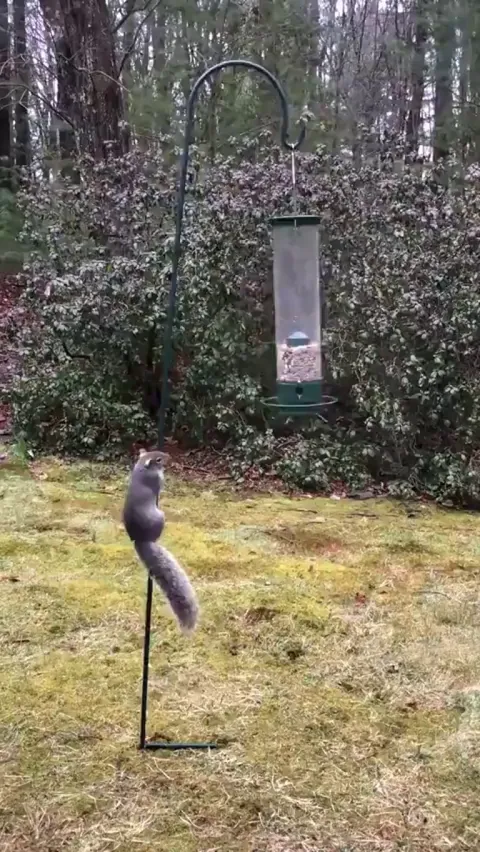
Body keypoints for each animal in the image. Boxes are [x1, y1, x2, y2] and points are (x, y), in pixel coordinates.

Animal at [122, 449, 199, 634]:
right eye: (158, 459)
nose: (169, 457)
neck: (142, 467)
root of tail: (139, 539)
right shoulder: (156, 480)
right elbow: (160, 486)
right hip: (160, 518)